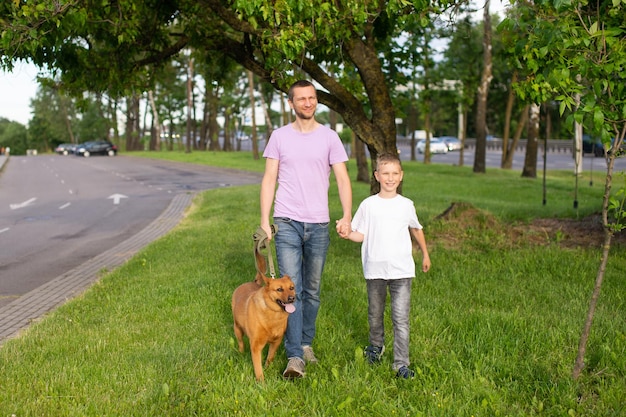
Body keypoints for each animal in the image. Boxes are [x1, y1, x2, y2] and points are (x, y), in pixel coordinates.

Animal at [232, 242, 294, 378]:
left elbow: (270, 358)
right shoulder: (256, 345)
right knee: (241, 343)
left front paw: (268, 368)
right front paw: (261, 381)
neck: (273, 315)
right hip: (237, 328)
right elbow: (258, 368)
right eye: (279, 289)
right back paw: (241, 353)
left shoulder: (276, 342)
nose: (292, 298)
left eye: (292, 288)